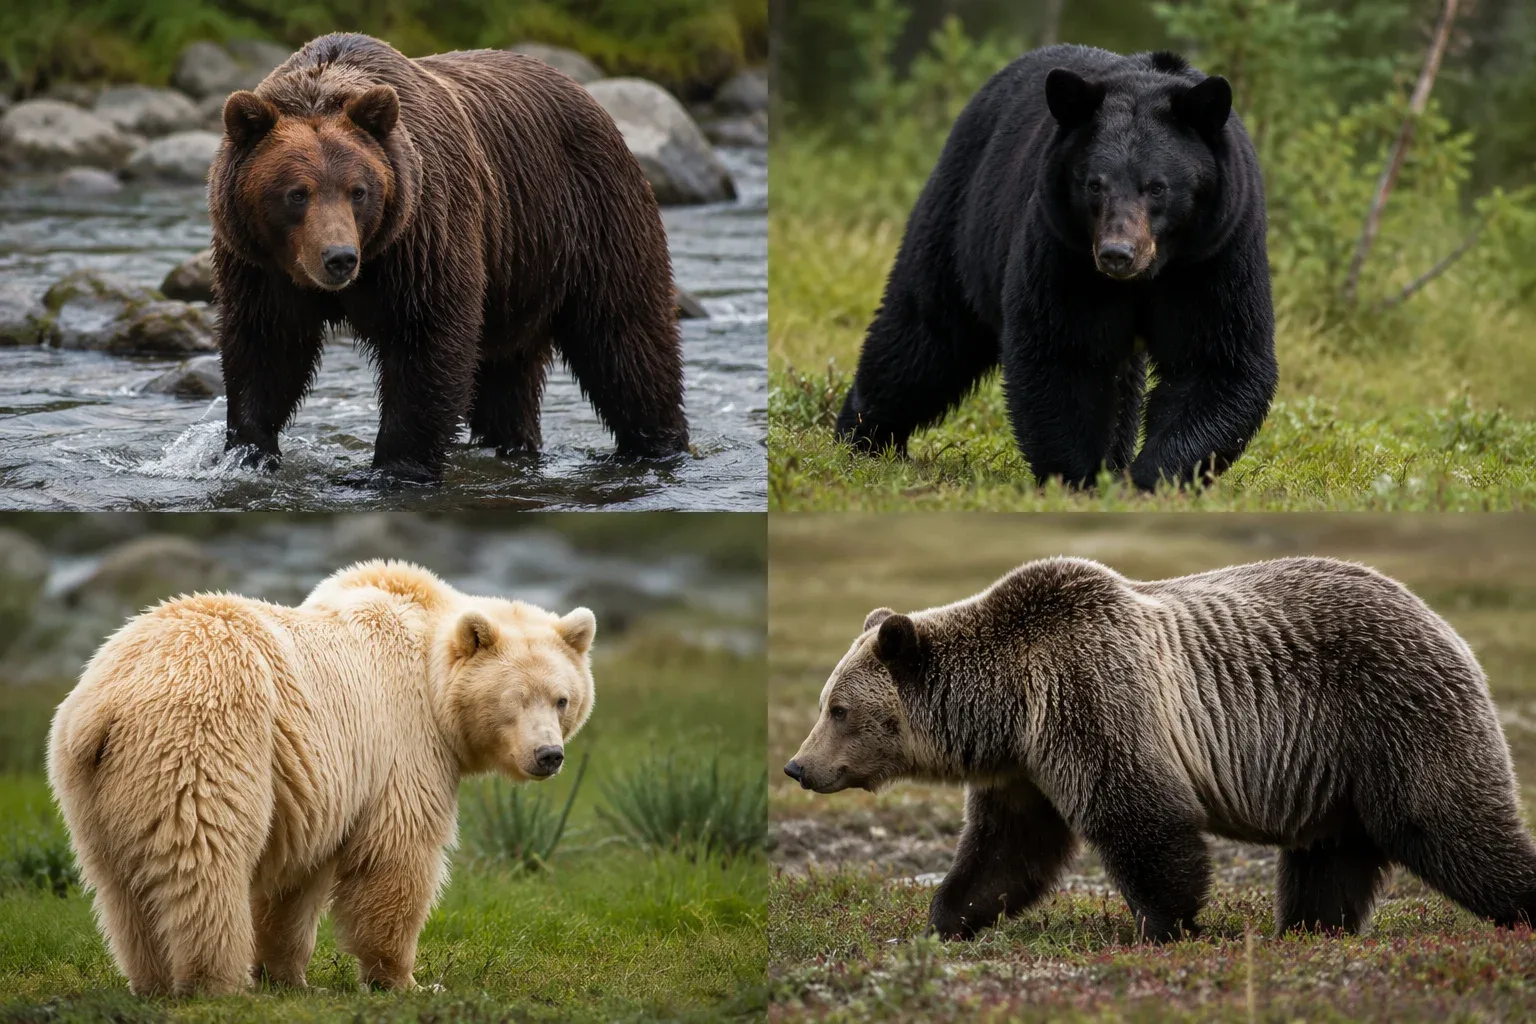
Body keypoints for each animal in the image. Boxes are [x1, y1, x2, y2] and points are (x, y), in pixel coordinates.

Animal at [46, 560, 596, 996]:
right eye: (515, 699)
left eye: (561, 699)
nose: (549, 755)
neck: (430, 671)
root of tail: (108, 701)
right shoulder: (402, 743)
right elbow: (397, 856)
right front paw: (405, 979)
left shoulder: (318, 784)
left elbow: (296, 880)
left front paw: (287, 975)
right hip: (205, 740)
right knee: (204, 857)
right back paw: (214, 981)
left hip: (93, 783)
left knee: (119, 885)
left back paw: (153, 980)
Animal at [208, 33, 689, 485]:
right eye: (297, 193)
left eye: (358, 191)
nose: (339, 258)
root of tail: (588, 97)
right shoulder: (261, 268)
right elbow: (267, 346)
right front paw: (248, 452)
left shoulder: (423, 238)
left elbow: (428, 341)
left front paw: (394, 469)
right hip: (518, 272)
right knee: (507, 375)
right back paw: (509, 443)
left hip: (592, 221)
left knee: (626, 338)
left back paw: (657, 445)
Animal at [784, 555, 1536, 942]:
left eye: (837, 709)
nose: (798, 766)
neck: (1006, 705)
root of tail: (1439, 620)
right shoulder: (1023, 766)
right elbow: (1007, 849)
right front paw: (949, 916)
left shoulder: (1090, 696)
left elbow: (1139, 817)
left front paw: (1167, 924)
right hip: (1335, 771)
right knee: (1329, 857)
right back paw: (1310, 928)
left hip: (1392, 718)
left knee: (1452, 824)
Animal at [835, 45, 1277, 491]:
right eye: (1095, 184)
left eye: (1157, 187)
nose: (1117, 253)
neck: (1148, 275)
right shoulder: (1063, 250)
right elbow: (1063, 350)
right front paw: (1079, 478)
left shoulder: (1214, 257)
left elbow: (1216, 360)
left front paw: (1146, 478)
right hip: (960, 220)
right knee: (924, 335)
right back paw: (862, 435)